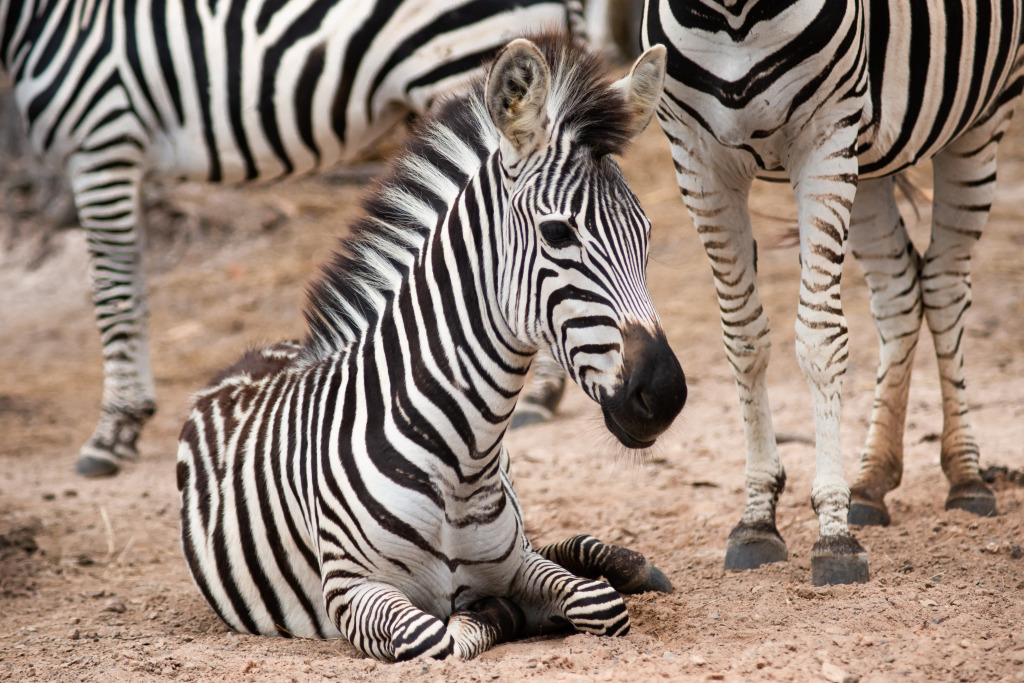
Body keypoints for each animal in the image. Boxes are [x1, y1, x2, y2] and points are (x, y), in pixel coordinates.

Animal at [0, 0, 585, 479]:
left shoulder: (103, 139)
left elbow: (112, 295)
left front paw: (111, 433)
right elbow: (136, 292)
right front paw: (133, 416)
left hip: (468, 62)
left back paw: (537, 393)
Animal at [178, 34, 688, 659]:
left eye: (645, 233)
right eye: (557, 233)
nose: (664, 393)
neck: (462, 463)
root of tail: (251, 357)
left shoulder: (515, 562)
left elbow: (598, 604)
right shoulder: (349, 589)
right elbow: (437, 636)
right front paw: (494, 615)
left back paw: (625, 564)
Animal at [638, 1, 1024, 589]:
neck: (734, 15)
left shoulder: (825, 133)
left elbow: (820, 338)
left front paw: (834, 536)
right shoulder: (697, 156)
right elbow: (743, 339)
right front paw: (757, 521)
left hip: (981, 116)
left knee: (944, 285)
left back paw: (966, 476)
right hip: (870, 158)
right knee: (898, 291)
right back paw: (871, 481)